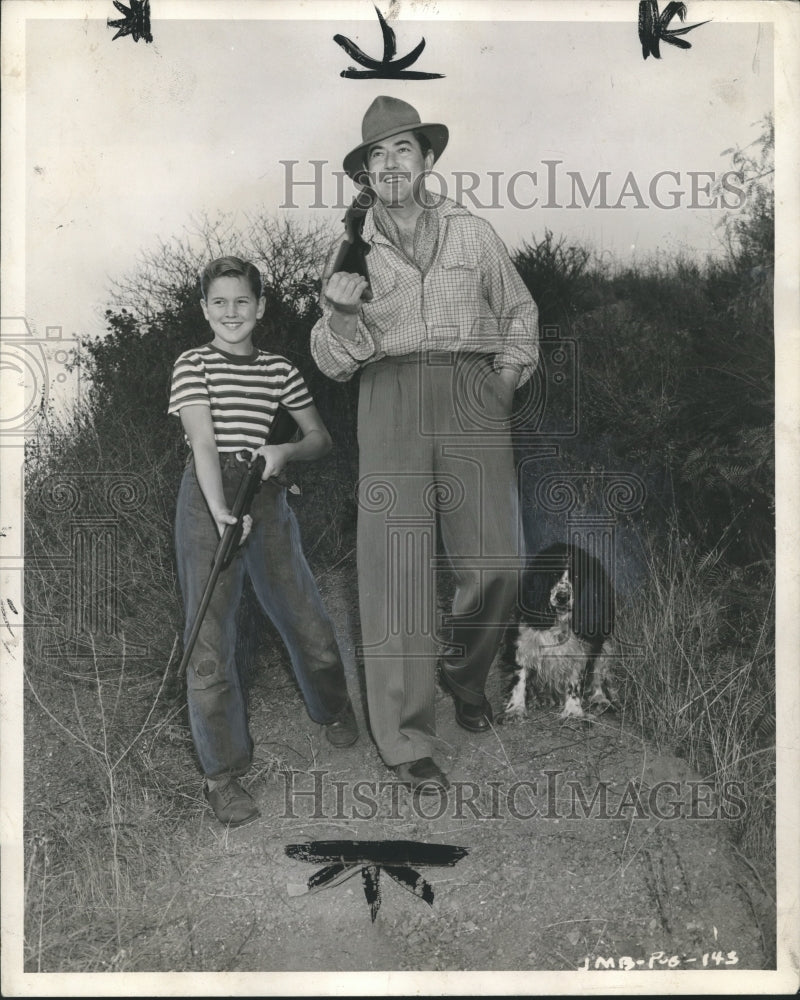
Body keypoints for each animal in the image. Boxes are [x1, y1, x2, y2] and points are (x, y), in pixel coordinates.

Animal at [500, 544, 620, 724]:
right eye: (554, 573)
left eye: (577, 575)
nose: (562, 597)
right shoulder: (522, 644)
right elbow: (519, 679)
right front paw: (516, 709)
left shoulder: (579, 652)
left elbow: (574, 683)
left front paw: (573, 711)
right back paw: (538, 698)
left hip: (606, 648)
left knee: (598, 678)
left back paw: (600, 700)